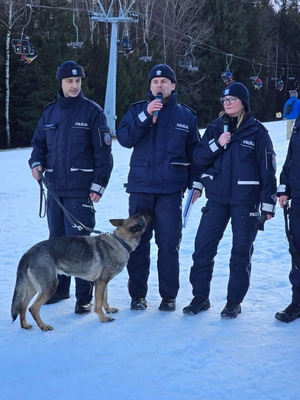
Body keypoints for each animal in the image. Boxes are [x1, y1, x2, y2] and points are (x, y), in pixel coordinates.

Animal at [10, 214, 151, 332]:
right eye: (144, 216)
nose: (150, 213)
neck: (120, 242)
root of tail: (27, 254)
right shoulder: (100, 282)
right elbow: (98, 304)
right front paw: (103, 318)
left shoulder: (103, 283)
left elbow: (104, 299)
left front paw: (108, 310)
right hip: (50, 287)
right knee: (33, 308)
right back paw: (44, 326)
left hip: (33, 288)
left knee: (22, 306)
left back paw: (25, 325)